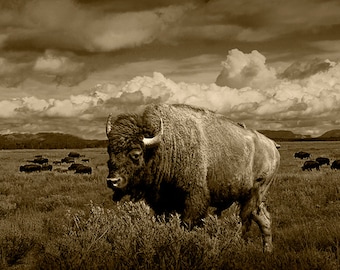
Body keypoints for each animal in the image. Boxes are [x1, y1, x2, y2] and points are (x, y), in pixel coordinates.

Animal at [105, 104, 278, 253]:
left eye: (136, 154)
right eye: (109, 151)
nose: (113, 181)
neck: (166, 145)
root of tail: (272, 147)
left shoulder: (193, 199)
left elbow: (188, 224)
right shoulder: (162, 203)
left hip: (253, 194)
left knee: (244, 221)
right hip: (254, 198)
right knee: (264, 219)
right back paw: (267, 250)